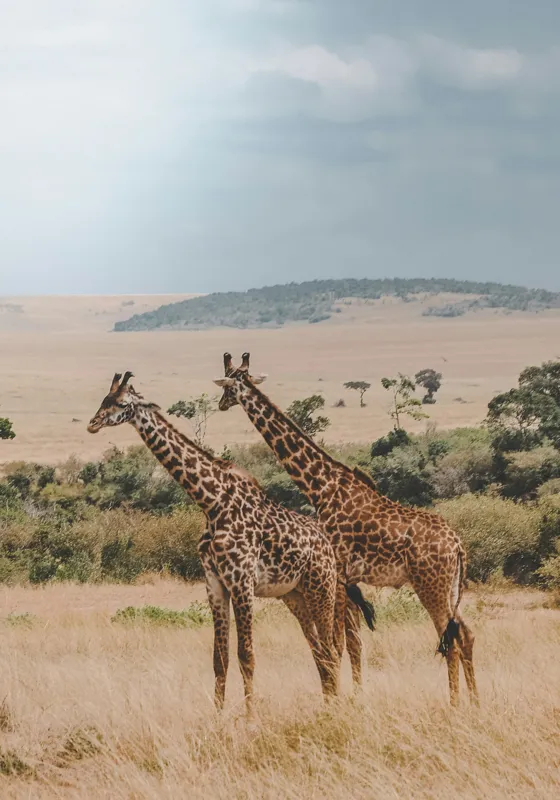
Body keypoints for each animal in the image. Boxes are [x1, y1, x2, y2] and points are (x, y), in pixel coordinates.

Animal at [87, 371, 360, 712]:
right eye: (104, 399)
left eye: (122, 403)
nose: (93, 423)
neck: (211, 501)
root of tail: (330, 548)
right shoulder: (215, 584)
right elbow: (220, 658)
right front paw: (217, 715)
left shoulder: (242, 581)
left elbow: (247, 655)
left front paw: (250, 716)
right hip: (296, 595)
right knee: (321, 651)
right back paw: (328, 705)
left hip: (321, 588)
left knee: (332, 649)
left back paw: (333, 708)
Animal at [214, 353, 478, 706]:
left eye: (228, 385)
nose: (220, 404)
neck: (321, 486)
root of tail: (458, 546)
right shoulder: (348, 579)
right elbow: (352, 642)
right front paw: (355, 697)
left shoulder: (337, 572)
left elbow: (338, 644)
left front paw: (340, 700)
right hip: (449, 587)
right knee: (465, 634)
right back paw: (475, 702)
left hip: (430, 586)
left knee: (448, 640)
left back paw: (453, 705)